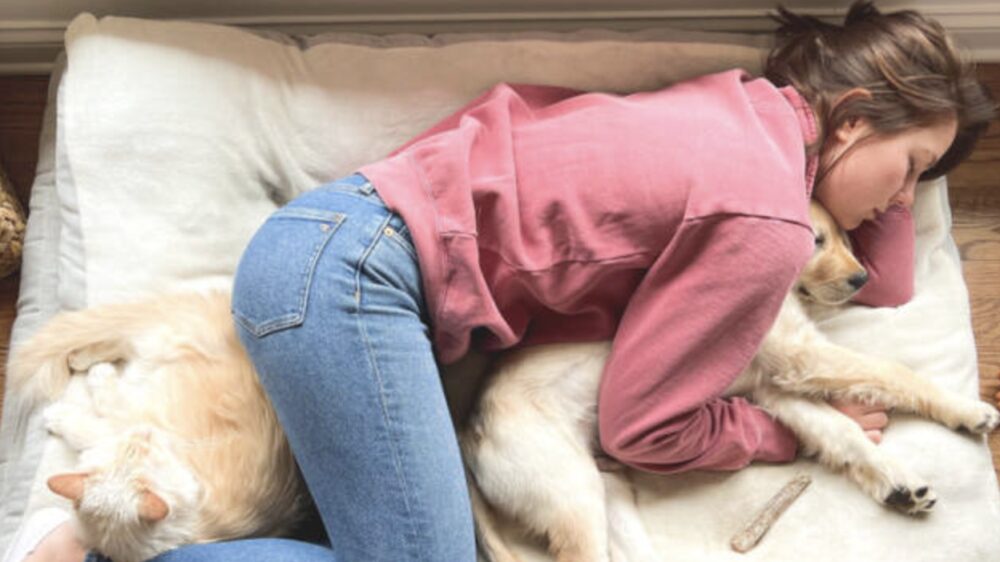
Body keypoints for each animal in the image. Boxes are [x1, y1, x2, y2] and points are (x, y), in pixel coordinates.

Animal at [8, 290, 309, 562]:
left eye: (142, 451)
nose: (144, 433)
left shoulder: (126, 418)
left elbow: (87, 423)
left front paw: (56, 416)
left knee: (120, 344)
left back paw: (91, 367)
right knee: (118, 342)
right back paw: (81, 360)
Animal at [459, 201, 1000, 562]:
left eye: (843, 238)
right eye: (816, 240)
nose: (862, 279)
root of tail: (468, 431)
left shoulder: (774, 387)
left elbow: (841, 431)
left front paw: (897, 482)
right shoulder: (797, 355)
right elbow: (894, 371)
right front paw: (968, 410)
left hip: (609, 497)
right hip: (573, 496)